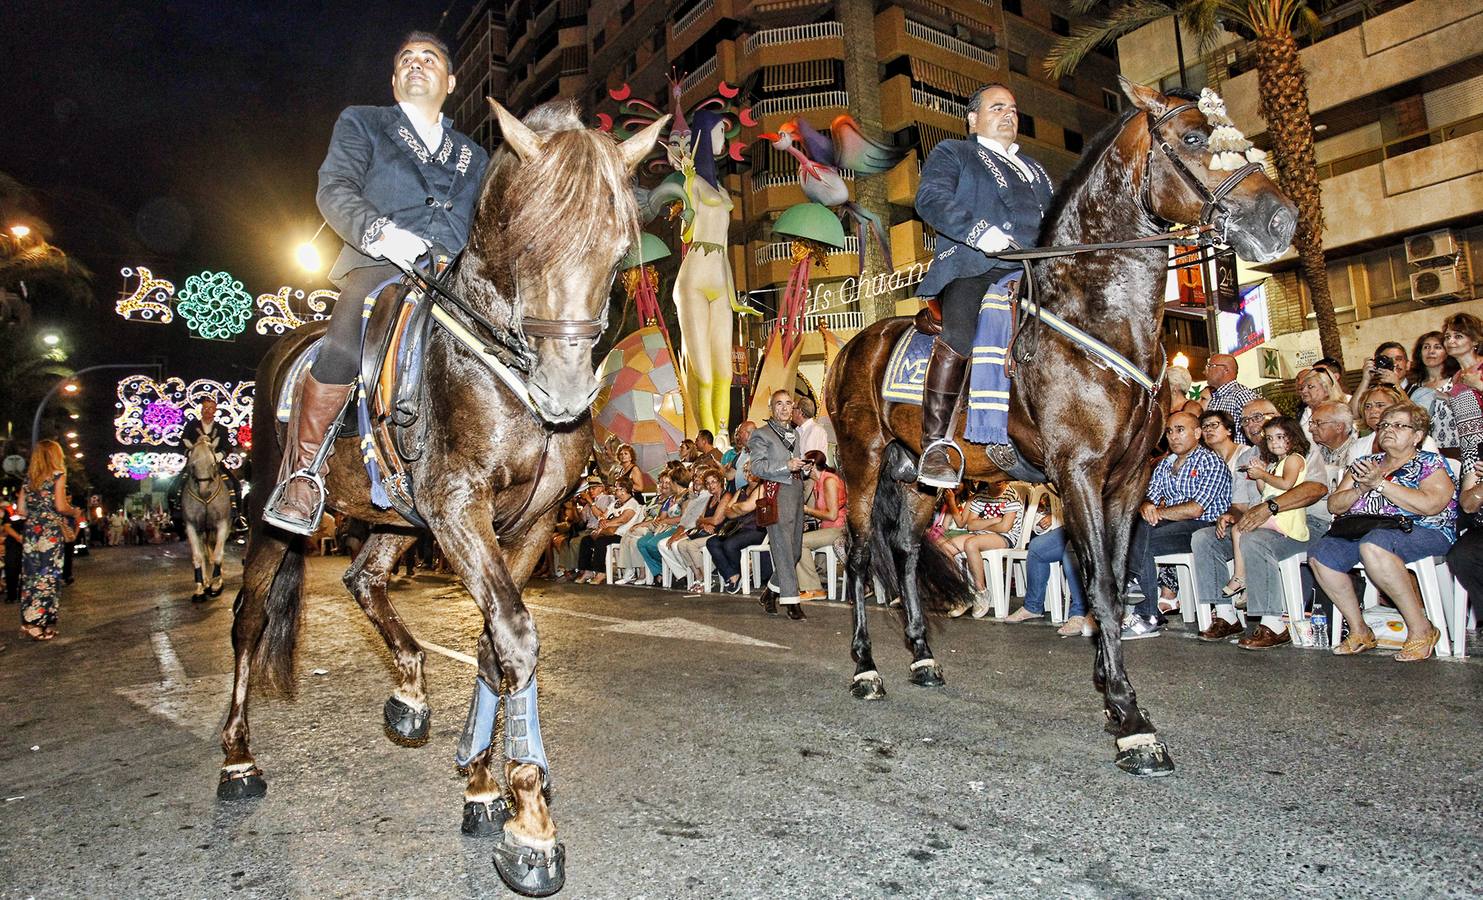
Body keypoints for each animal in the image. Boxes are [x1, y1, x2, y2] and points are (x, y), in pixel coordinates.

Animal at [179, 438, 231, 601]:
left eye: (213, 464)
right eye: (192, 465)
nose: (205, 492)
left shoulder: (222, 524)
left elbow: (218, 554)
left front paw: (216, 584)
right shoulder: (191, 526)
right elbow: (198, 557)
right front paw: (200, 588)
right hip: (202, 530)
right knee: (203, 552)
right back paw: (206, 581)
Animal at [216, 100, 667, 895]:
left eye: (617, 254)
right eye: (528, 242)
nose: (563, 394)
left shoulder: (531, 524)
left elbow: (495, 646)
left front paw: (483, 787)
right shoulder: (458, 507)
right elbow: (515, 636)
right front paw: (530, 823)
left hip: (394, 515)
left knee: (361, 578)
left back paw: (408, 694)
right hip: (277, 514)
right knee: (248, 621)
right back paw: (239, 758)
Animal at [824, 80, 1299, 776]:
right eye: (1192, 139)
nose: (1282, 222)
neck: (1096, 315)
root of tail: (856, 344)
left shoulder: (1127, 480)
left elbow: (1111, 580)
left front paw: (1111, 692)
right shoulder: (1079, 472)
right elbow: (1098, 582)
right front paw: (1131, 721)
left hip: (915, 474)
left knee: (907, 553)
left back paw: (922, 657)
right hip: (861, 461)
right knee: (861, 556)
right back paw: (865, 669)